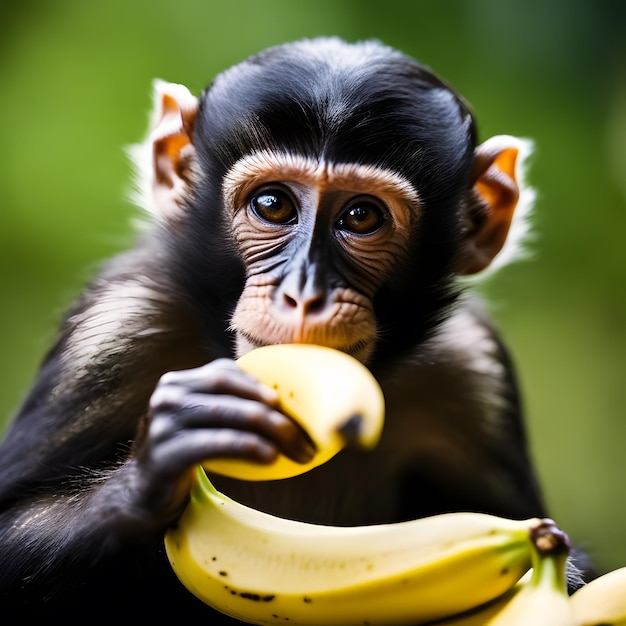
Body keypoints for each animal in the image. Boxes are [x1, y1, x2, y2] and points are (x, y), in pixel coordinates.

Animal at [0, 39, 584, 620]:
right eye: (273, 204)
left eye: (362, 216)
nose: (304, 292)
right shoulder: (113, 329)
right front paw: (154, 470)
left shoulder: (474, 370)